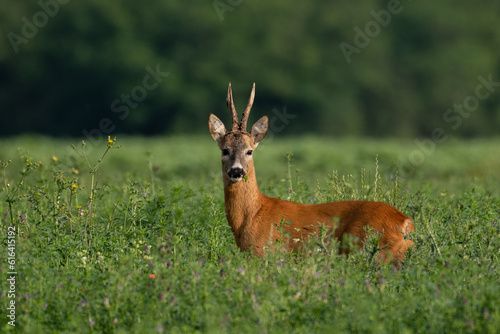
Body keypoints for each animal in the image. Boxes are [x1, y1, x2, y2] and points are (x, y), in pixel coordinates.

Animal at [208, 83, 414, 264]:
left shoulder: (265, 254)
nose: (236, 171)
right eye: (225, 150)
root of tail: (405, 222)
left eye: (249, 151)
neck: (251, 216)